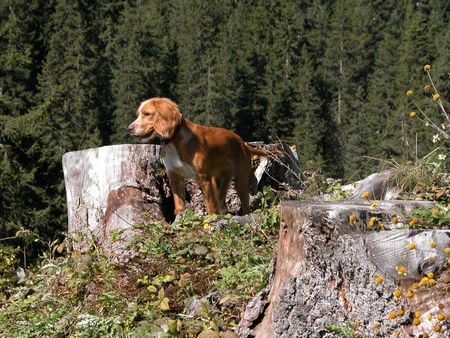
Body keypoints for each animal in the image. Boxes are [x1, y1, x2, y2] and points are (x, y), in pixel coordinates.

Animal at [127, 97, 278, 214]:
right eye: (139, 114)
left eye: (147, 113)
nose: (130, 128)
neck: (175, 141)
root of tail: (243, 143)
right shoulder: (174, 176)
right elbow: (179, 205)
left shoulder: (203, 178)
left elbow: (211, 207)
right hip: (220, 180)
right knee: (221, 202)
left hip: (240, 178)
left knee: (244, 205)